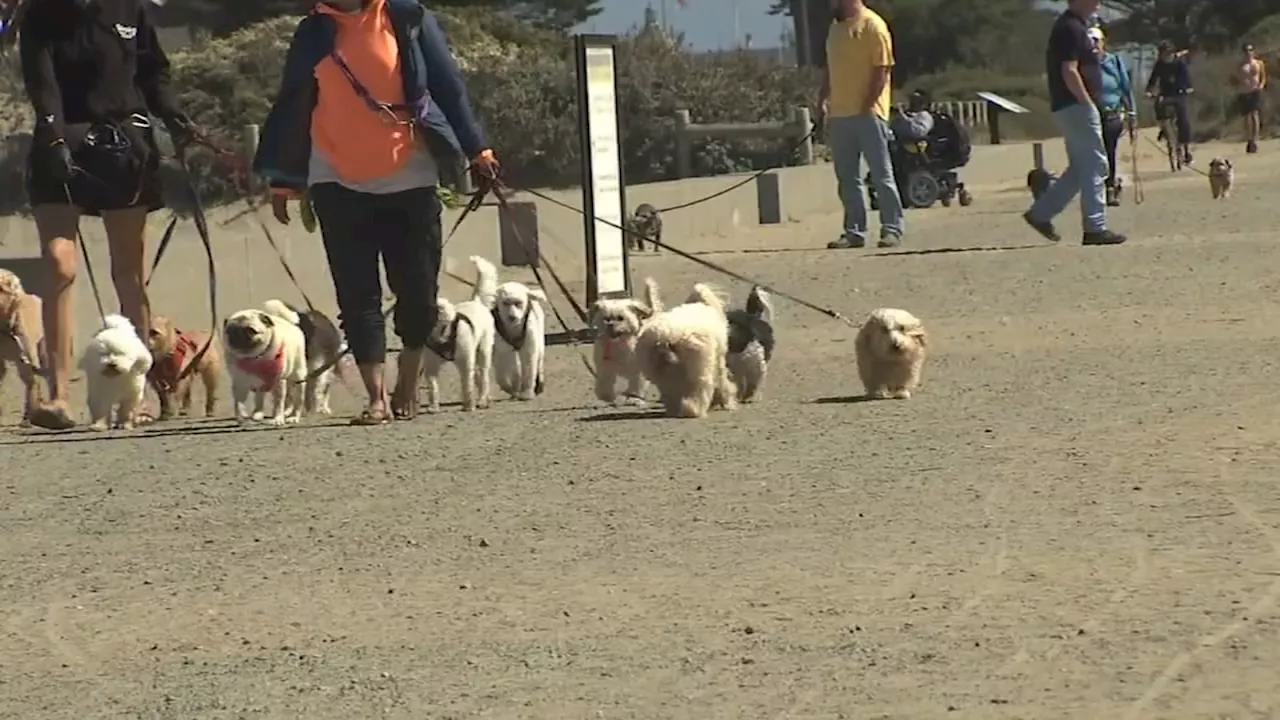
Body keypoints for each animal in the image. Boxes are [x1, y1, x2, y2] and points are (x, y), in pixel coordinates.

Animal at [422, 253, 496, 412]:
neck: (442, 335)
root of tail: (476, 301)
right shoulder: (431, 366)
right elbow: (432, 386)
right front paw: (433, 406)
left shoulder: (465, 363)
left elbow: (466, 385)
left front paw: (468, 405)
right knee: (478, 377)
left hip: (483, 351)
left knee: (483, 377)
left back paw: (482, 399)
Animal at [591, 278, 665, 407]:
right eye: (605, 318)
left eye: (621, 318)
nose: (610, 324)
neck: (620, 343)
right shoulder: (605, 367)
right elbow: (604, 382)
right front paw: (606, 396)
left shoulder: (639, 370)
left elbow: (637, 384)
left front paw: (634, 398)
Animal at [634, 280, 737, 415]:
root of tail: (664, 338)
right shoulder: (715, 360)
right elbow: (722, 382)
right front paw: (725, 401)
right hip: (698, 365)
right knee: (700, 388)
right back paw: (693, 410)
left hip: (661, 370)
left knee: (671, 390)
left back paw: (677, 409)